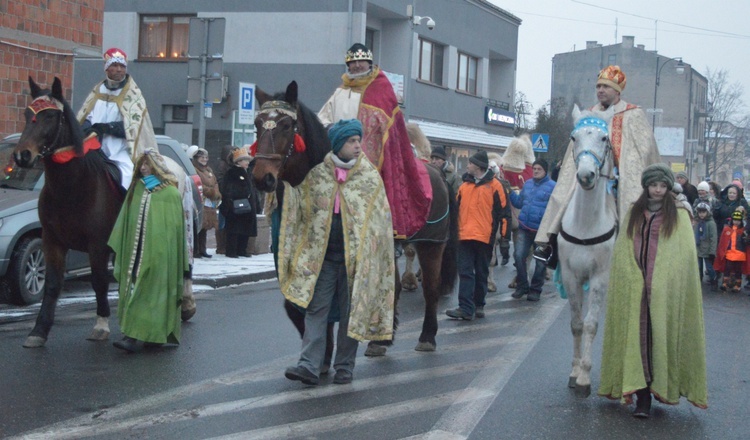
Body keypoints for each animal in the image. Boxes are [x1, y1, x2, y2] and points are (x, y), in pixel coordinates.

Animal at [12, 78, 123, 348]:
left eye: (51, 116)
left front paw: (101, 324)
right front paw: (38, 330)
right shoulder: (52, 241)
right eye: (27, 114)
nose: (22, 155)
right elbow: (52, 285)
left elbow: (99, 281)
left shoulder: (97, 245)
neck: (72, 187)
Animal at [253, 80, 458, 354]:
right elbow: (301, 306)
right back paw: (381, 340)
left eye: (286, 126)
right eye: (257, 124)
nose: (261, 177)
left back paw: (427, 336)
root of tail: (438, 172)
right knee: (393, 287)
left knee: (431, 289)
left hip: (431, 244)